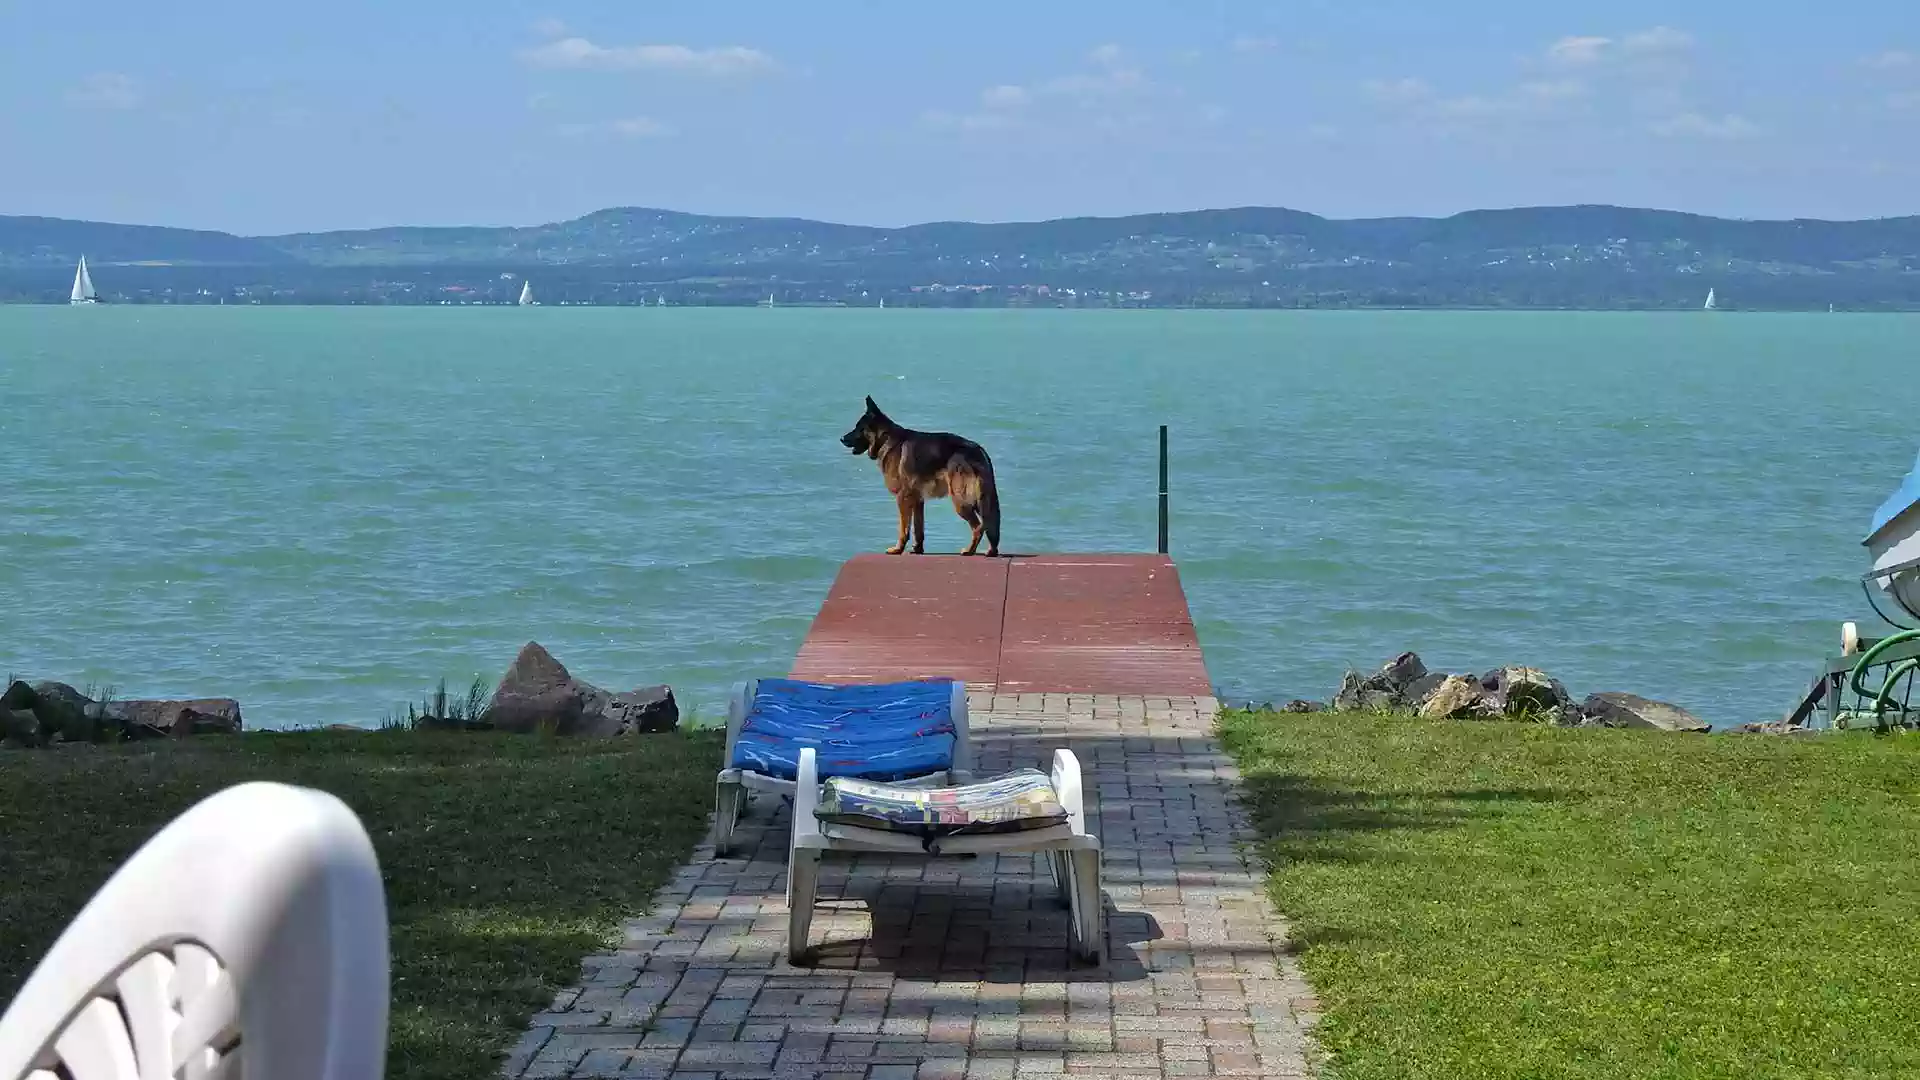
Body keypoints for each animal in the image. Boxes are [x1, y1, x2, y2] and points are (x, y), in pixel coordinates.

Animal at [848, 399, 1013, 557]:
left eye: (858, 428)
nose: (843, 439)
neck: (886, 438)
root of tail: (978, 450)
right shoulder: (917, 500)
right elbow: (918, 529)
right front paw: (917, 549)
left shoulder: (902, 498)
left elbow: (903, 529)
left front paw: (898, 549)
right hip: (980, 500)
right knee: (990, 525)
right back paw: (991, 552)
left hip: (961, 499)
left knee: (979, 526)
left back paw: (969, 551)